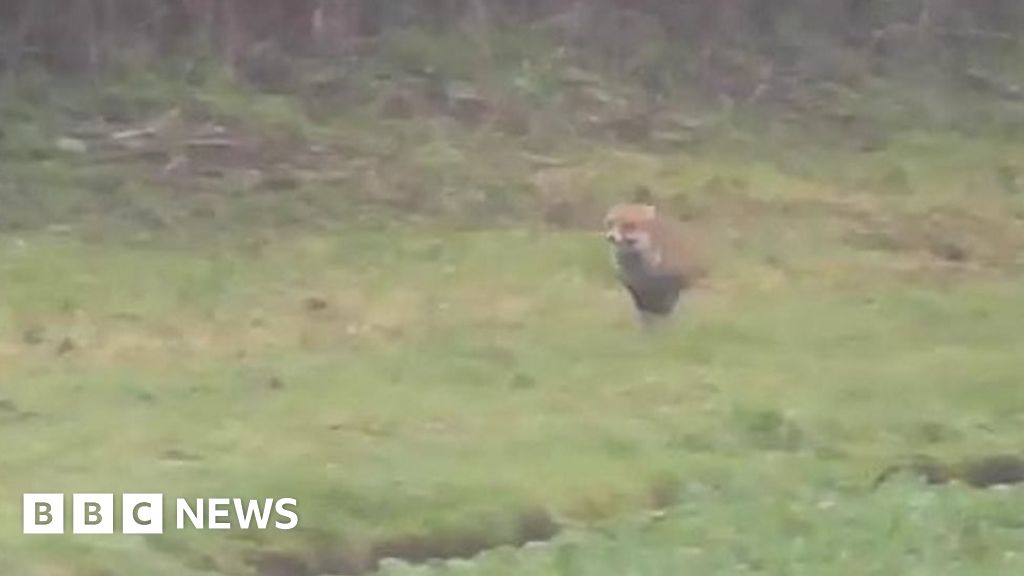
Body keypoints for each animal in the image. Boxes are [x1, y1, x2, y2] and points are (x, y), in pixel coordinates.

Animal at [604, 195, 702, 326]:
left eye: (629, 225)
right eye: (610, 223)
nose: (611, 237)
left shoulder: (674, 286)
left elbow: (671, 314)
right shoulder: (634, 288)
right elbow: (645, 315)